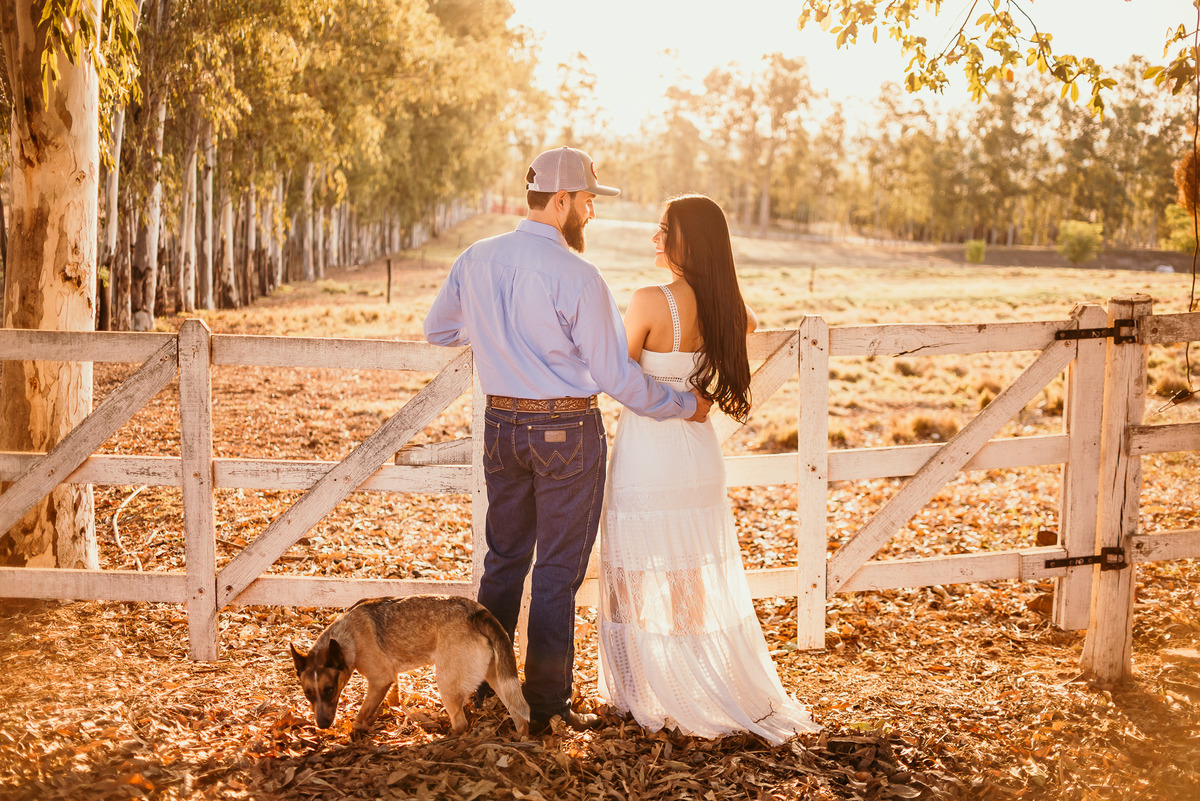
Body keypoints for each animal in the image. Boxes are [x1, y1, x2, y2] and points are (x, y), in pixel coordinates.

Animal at [290, 594, 529, 738]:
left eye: (330, 690)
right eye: (308, 694)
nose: (322, 725)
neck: (347, 636)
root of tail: (476, 613)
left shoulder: (380, 680)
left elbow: (362, 712)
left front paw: (356, 731)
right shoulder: (390, 679)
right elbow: (389, 700)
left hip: (446, 684)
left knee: (461, 723)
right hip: (498, 678)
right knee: (519, 714)